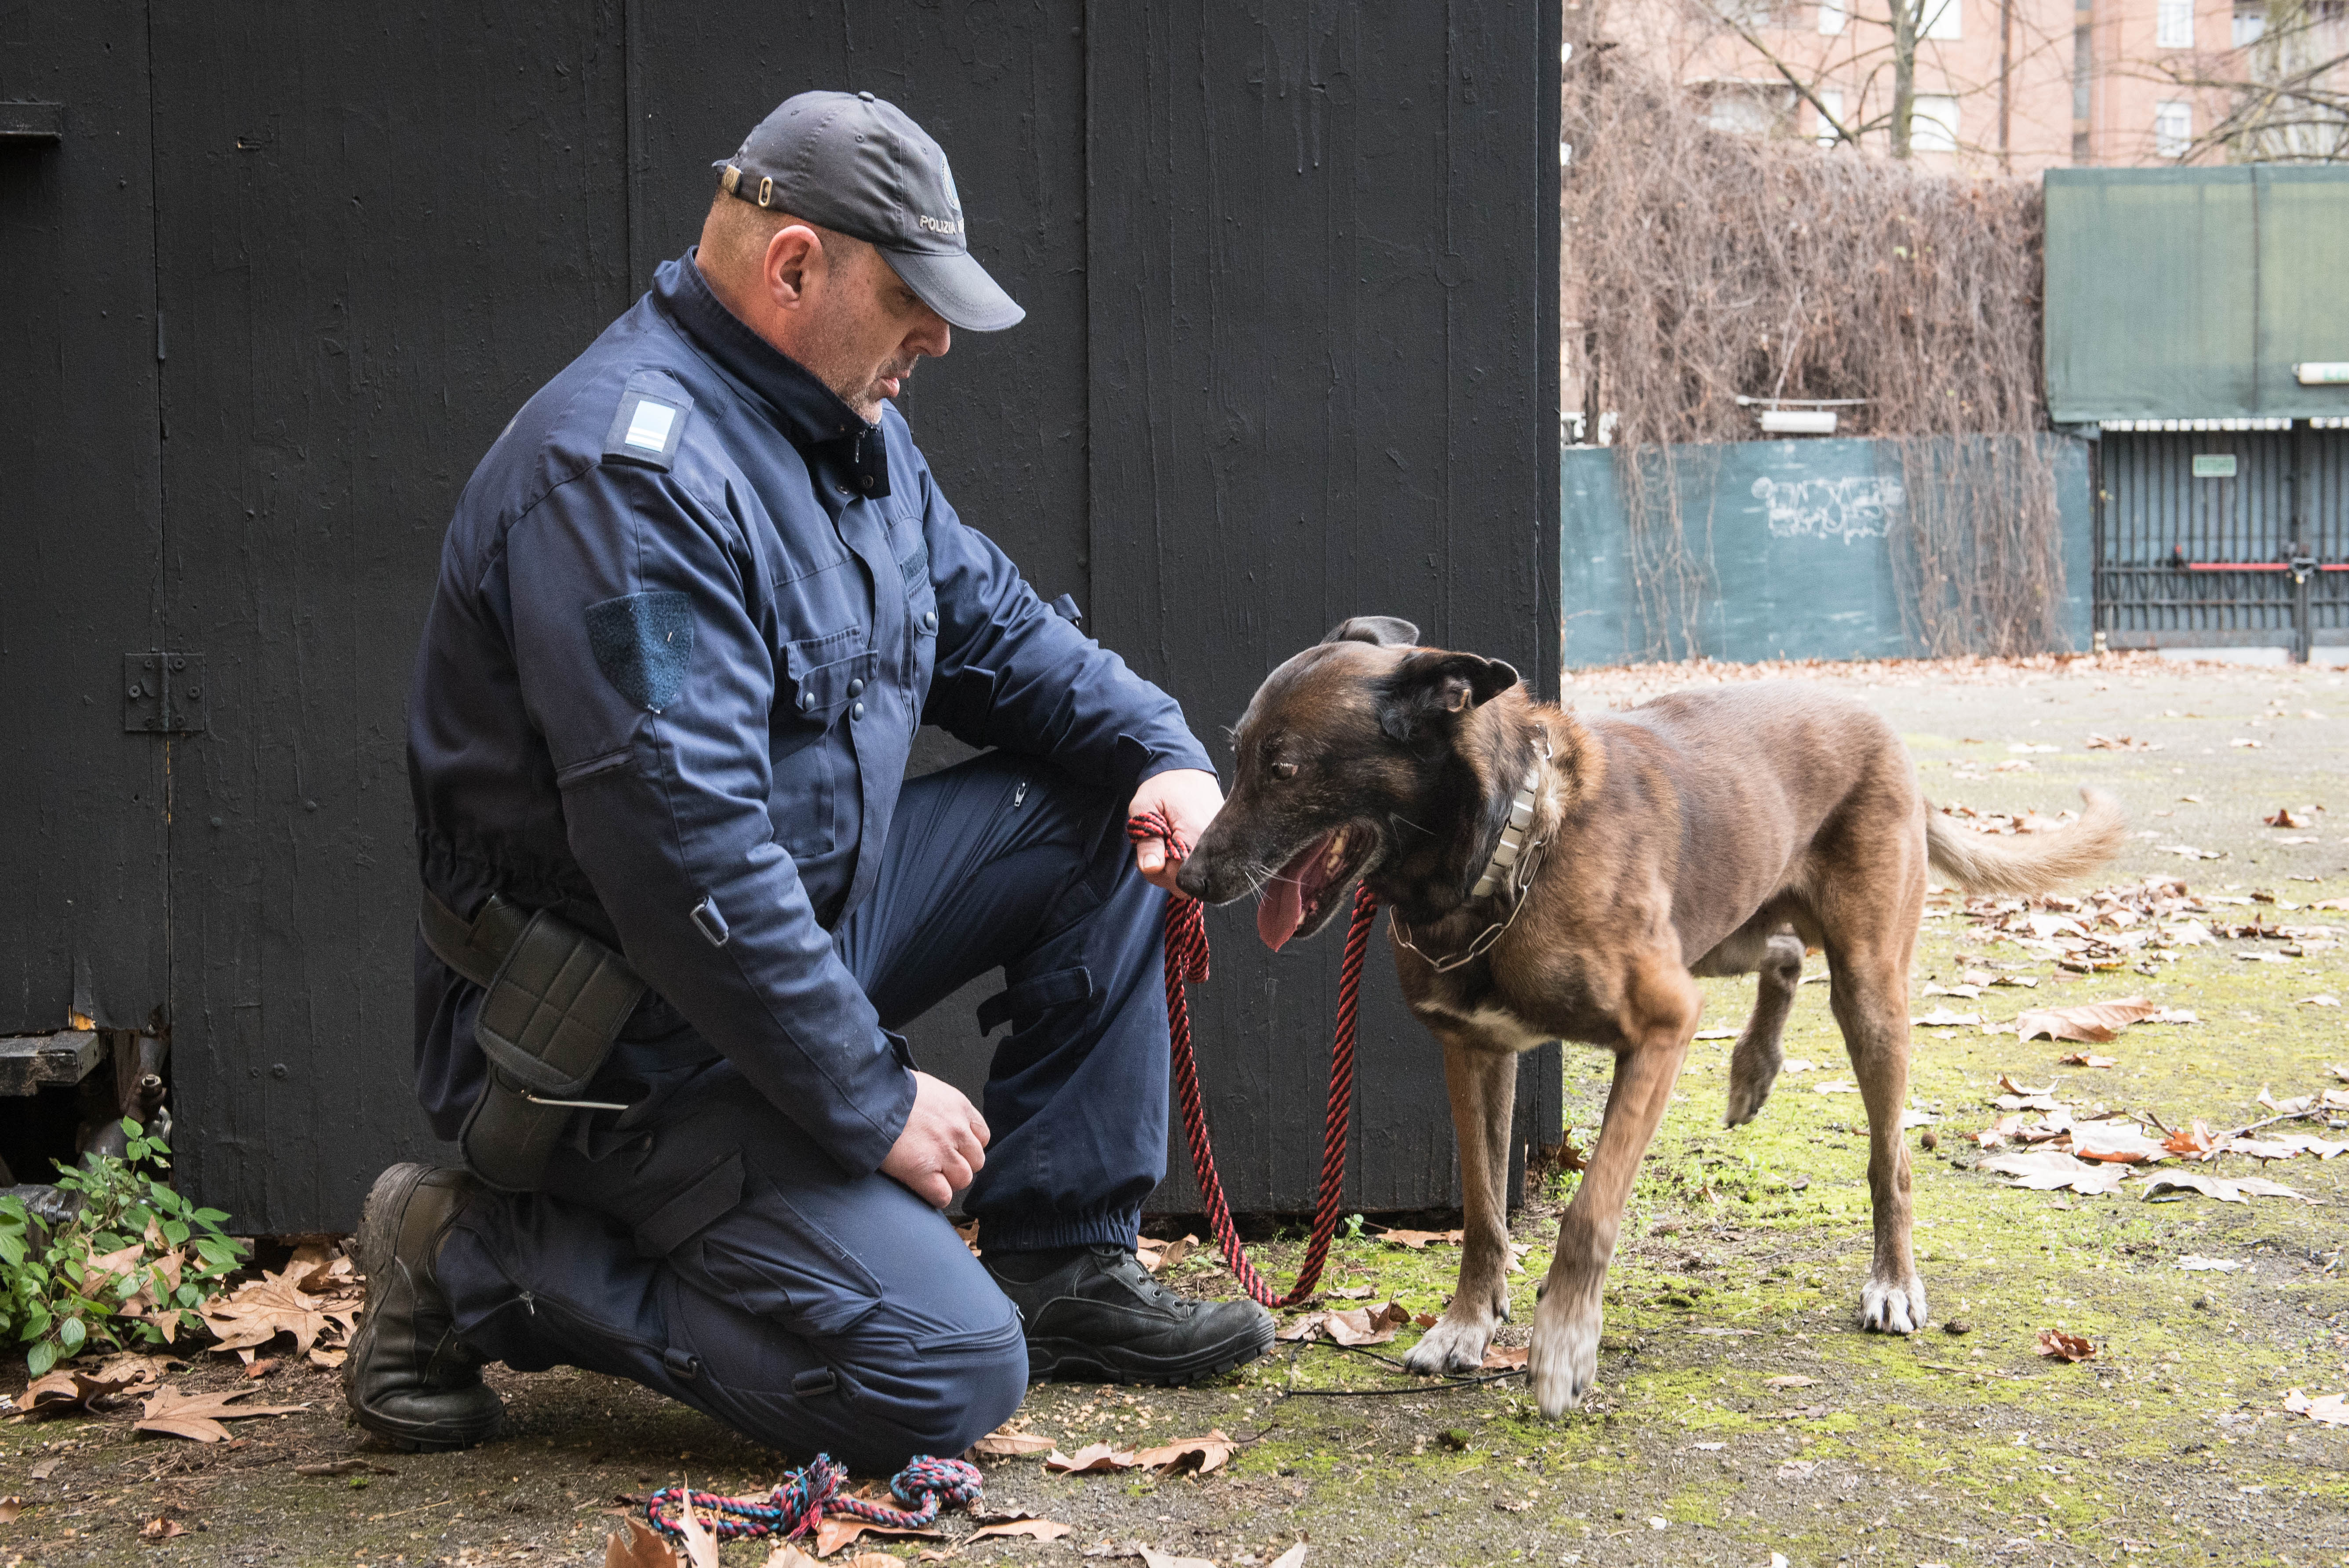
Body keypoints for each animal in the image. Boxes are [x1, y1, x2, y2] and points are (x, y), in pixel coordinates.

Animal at [1184, 619, 2123, 1418]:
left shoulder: (1661, 1028)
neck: (1506, 849)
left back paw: (1891, 1279)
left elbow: (1587, 1212)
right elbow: (1482, 1209)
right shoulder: (1476, 1051)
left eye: (1285, 767)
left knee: (1887, 1157)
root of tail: (1873, 719)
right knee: (1782, 953)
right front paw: (1466, 1323)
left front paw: (1563, 1344)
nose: (1188, 876)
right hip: (1722, 928)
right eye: (1238, 755)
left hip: (1864, 988)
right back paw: (1751, 1070)